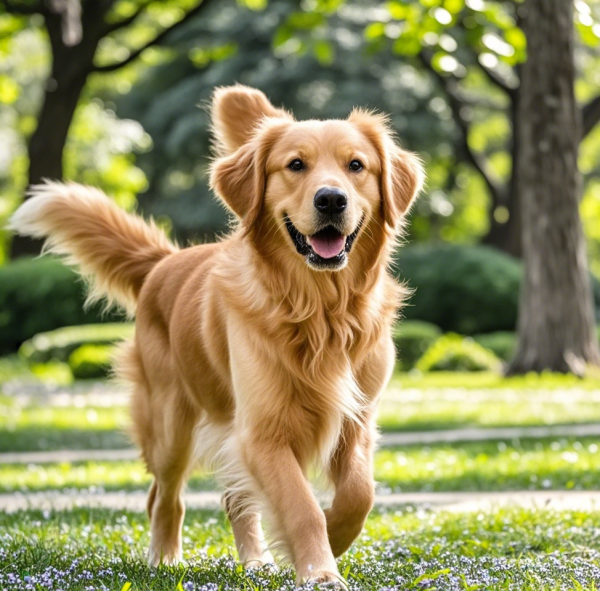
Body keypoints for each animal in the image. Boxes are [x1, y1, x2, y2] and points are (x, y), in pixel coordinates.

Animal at [8, 84, 422, 588]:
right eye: (295, 165)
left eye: (357, 165)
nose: (331, 200)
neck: (321, 310)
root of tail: (164, 261)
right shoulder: (260, 432)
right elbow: (301, 506)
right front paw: (320, 569)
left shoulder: (357, 419)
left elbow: (360, 493)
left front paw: (333, 540)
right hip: (170, 423)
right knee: (163, 496)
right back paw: (165, 559)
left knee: (233, 499)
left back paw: (256, 563)